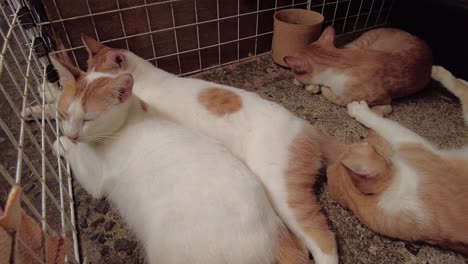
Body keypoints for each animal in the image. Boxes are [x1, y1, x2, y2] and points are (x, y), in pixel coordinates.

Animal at [324, 66, 468, 254]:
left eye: (366, 145)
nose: (367, 140)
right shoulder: (411, 143)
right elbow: (386, 125)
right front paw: (360, 111)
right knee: (462, 90)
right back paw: (438, 71)